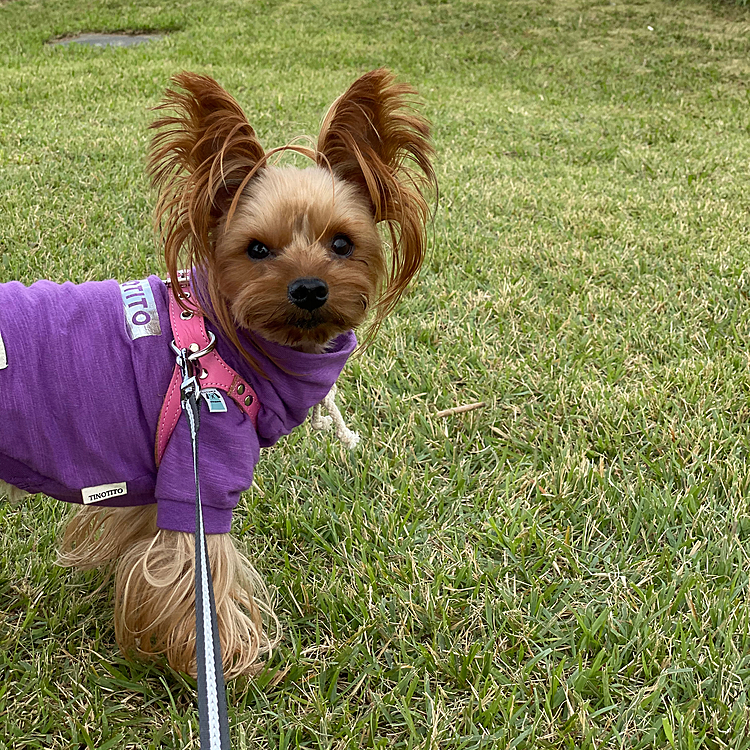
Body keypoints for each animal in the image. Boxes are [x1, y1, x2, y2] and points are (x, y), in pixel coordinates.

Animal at [0, 72, 434, 680]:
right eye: (256, 249)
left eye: (342, 243)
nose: (308, 288)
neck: (214, 337)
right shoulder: (204, 462)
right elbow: (202, 574)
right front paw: (225, 659)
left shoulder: (157, 472)